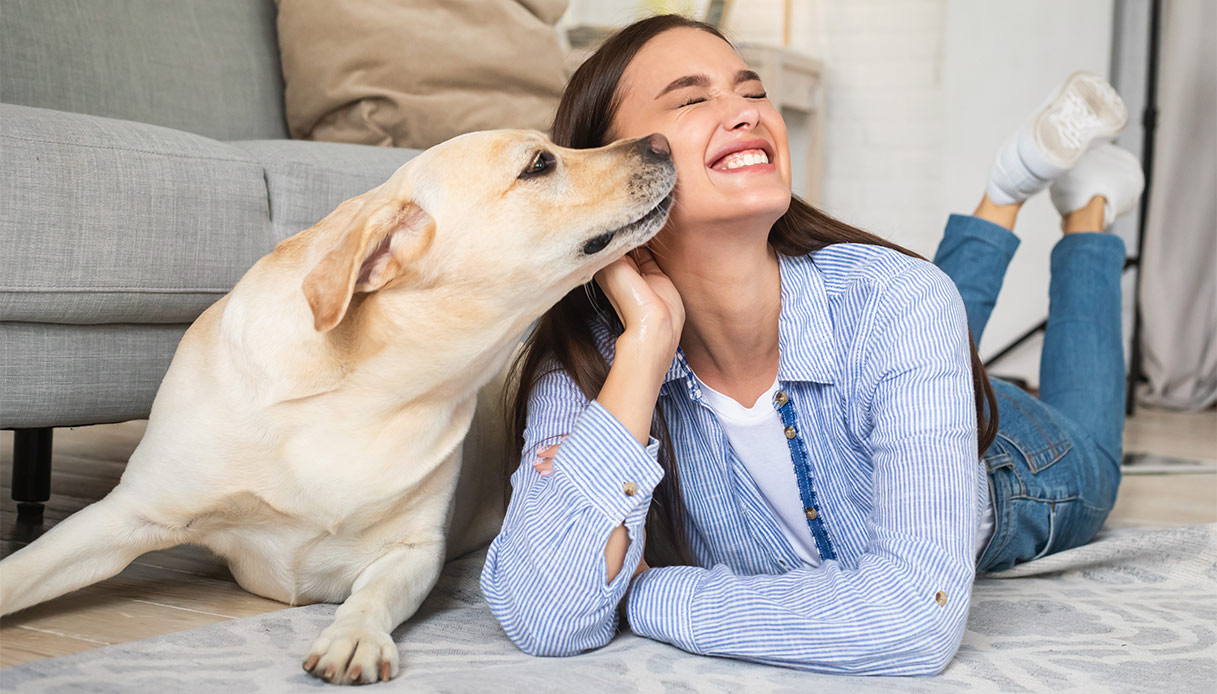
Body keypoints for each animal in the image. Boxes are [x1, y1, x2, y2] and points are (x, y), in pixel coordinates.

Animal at [0, 128, 676, 681]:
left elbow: (370, 596)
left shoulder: (414, 551)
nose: (663, 142)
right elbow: (21, 571)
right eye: (540, 163)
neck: (360, 397)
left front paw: (353, 637)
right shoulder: (129, 515)